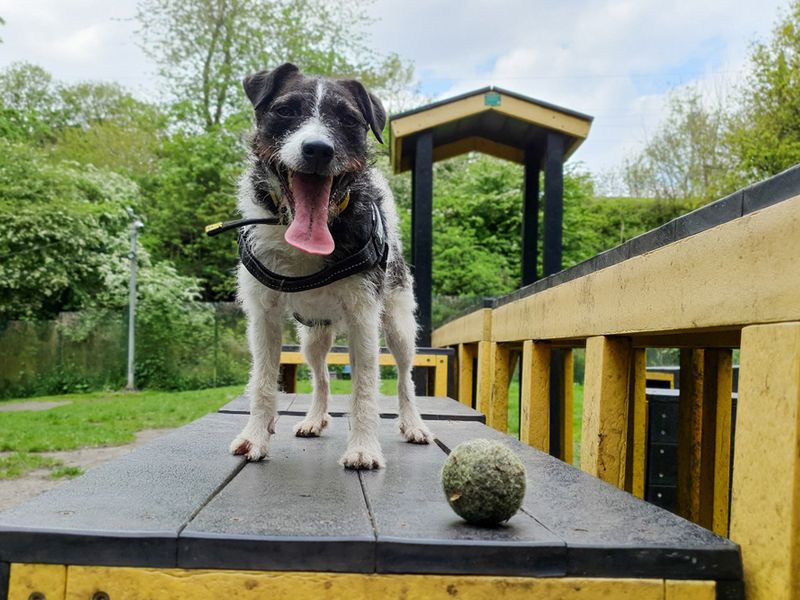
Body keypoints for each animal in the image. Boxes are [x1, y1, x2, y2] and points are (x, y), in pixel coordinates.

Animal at [228, 64, 434, 468]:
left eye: (348, 119)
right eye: (286, 111)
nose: (318, 149)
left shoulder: (364, 318)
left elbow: (365, 388)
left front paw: (364, 448)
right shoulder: (263, 318)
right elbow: (263, 382)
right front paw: (255, 437)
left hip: (399, 326)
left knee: (405, 378)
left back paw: (413, 424)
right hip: (312, 337)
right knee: (321, 375)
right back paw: (314, 418)